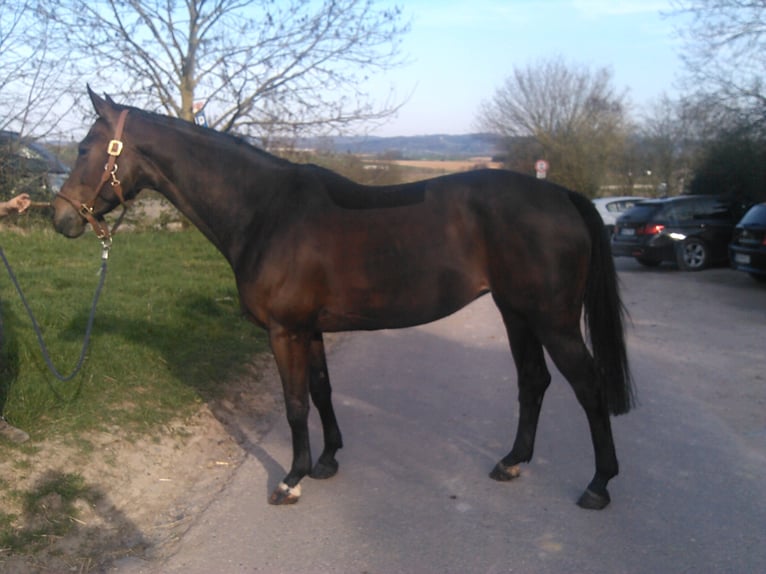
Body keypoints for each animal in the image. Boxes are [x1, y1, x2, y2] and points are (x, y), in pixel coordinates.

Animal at [52, 88, 636, 510]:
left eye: (83, 148)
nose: (59, 219)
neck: (265, 210)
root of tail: (561, 195)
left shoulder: (284, 330)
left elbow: (293, 403)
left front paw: (291, 480)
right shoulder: (309, 328)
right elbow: (321, 390)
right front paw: (328, 461)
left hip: (553, 320)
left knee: (588, 388)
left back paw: (599, 485)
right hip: (516, 313)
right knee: (533, 382)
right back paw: (511, 462)